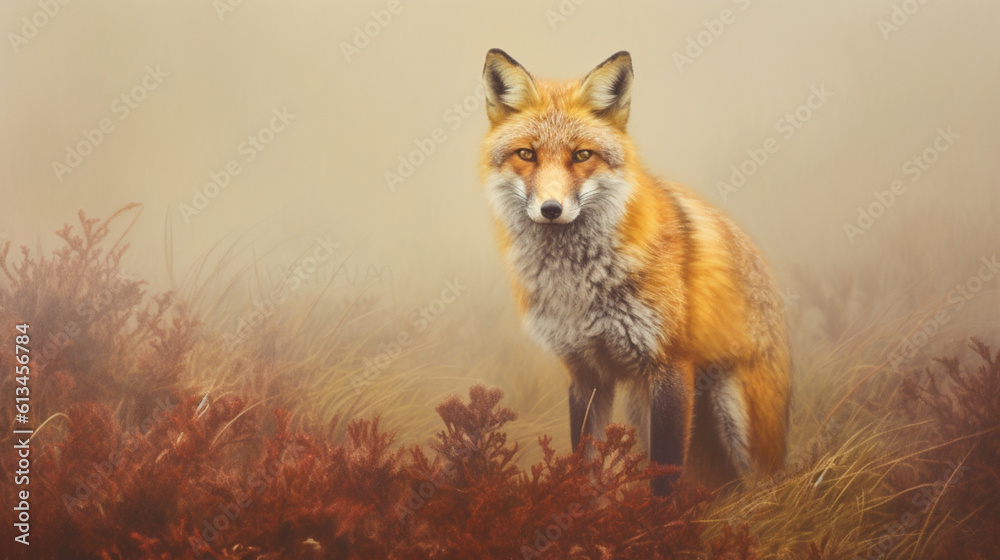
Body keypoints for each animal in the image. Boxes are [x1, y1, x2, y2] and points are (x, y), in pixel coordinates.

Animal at [479, 49, 791, 494]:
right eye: (527, 154)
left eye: (581, 155)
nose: (551, 209)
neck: (577, 286)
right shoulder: (585, 373)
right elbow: (583, 468)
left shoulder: (670, 365)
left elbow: (664, 480)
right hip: (641, 407)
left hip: (739, 421)